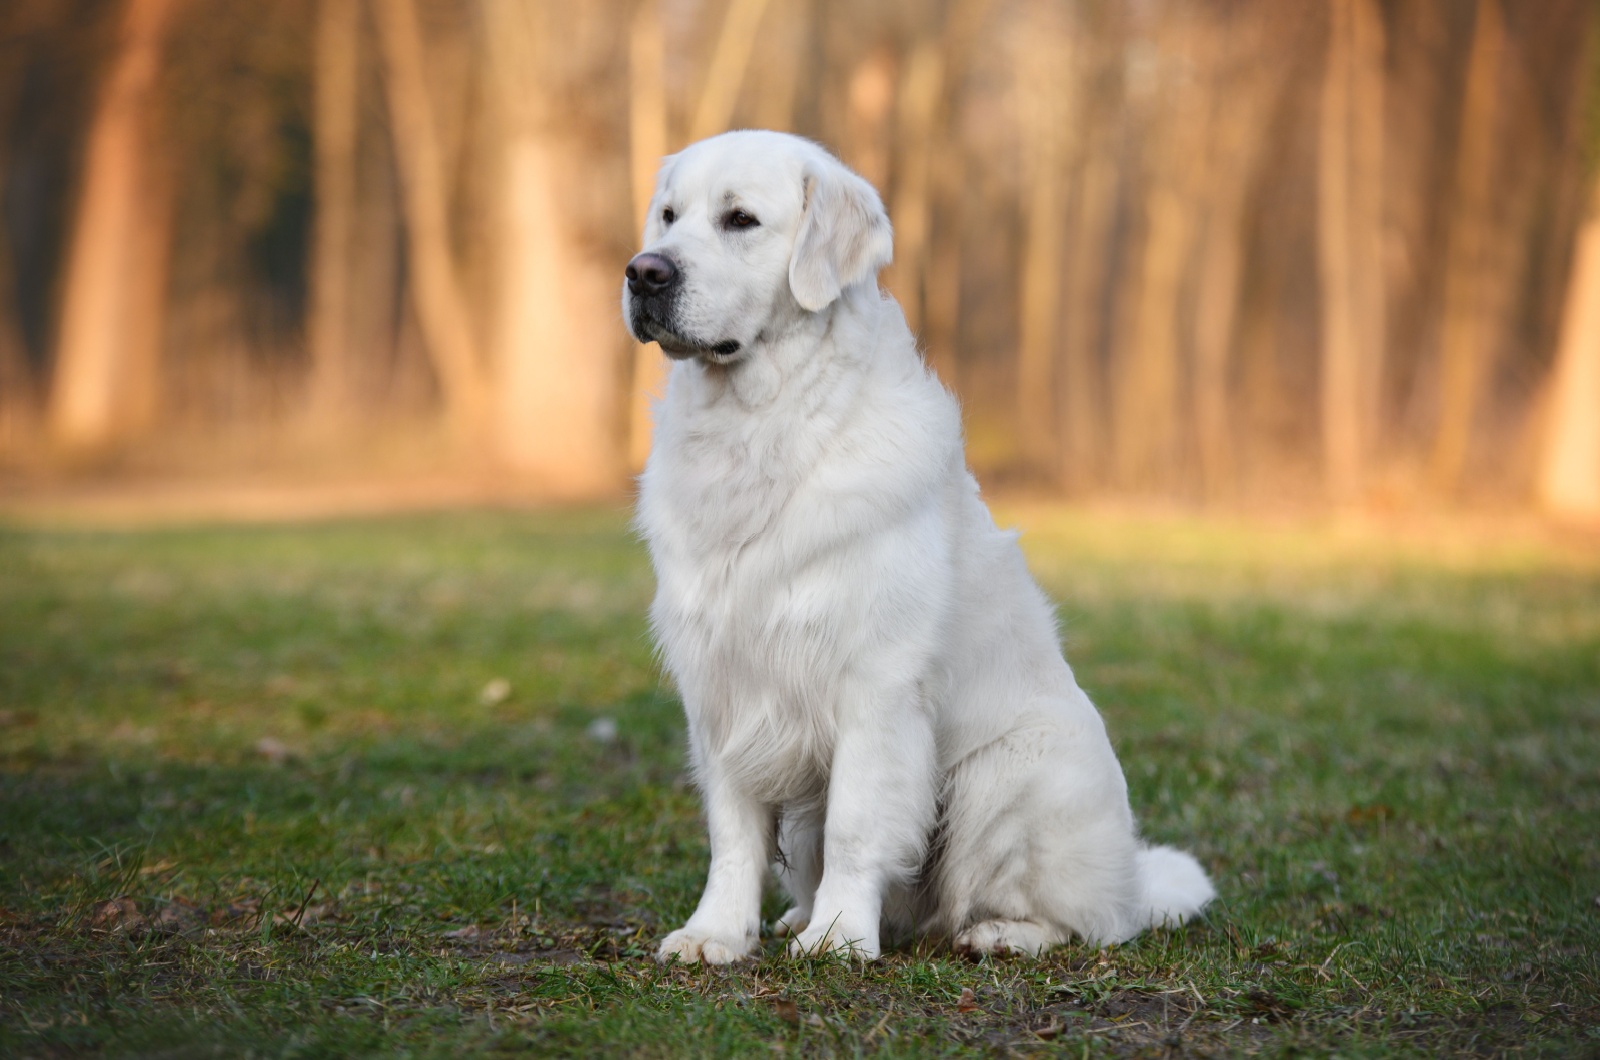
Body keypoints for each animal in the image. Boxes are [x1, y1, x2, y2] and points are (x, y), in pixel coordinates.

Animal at [624, 130, 1209, 960]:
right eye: (668, 217)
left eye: (741, 219)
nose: (645, 272)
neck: (762, 428)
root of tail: (1132, 879)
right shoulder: (722, 683)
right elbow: (733, 831)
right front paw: (718, 932)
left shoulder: (876, 681)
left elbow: (856, 823)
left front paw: (840, 935)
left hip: (1009, 773)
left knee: (1083, 921)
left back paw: (1000, 932)